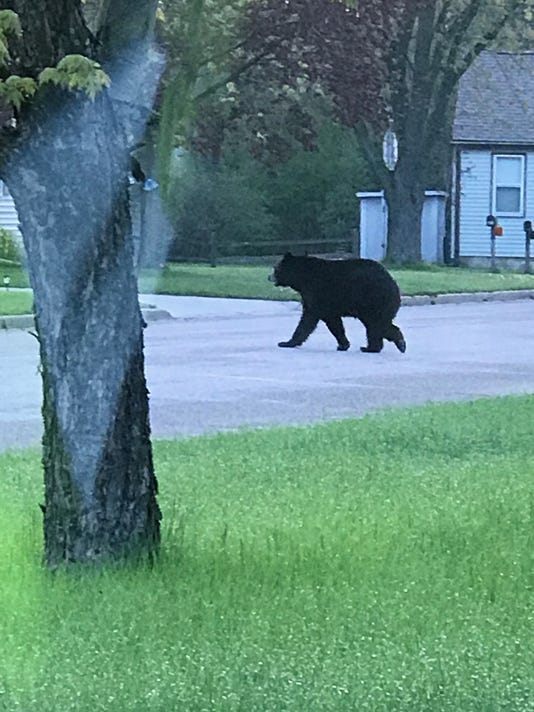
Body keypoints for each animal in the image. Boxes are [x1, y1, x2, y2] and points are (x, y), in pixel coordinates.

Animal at [269, 252, 406, 354]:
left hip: (372, 299)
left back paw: (371, 348)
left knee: (375, 324)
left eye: (276, 268)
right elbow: (334, 322)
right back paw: (398, 343)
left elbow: (309, 318)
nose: (269, 277)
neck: (302, 279)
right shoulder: (327, 303)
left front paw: (286, 342)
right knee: (380, 324)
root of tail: (393, 282)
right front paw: (343, 344)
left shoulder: (317, 292)